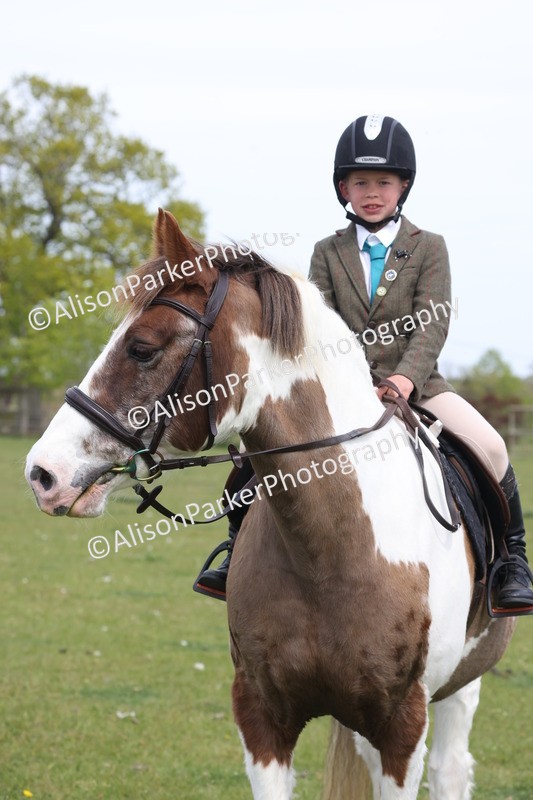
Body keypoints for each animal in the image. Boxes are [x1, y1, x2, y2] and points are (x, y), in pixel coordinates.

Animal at [26, 210, 516, 799]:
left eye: (142, 347)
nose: (42, 473)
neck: (332, 550)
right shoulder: (261, 717)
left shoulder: (403, 728)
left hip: (461, 684)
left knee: (451, 768)